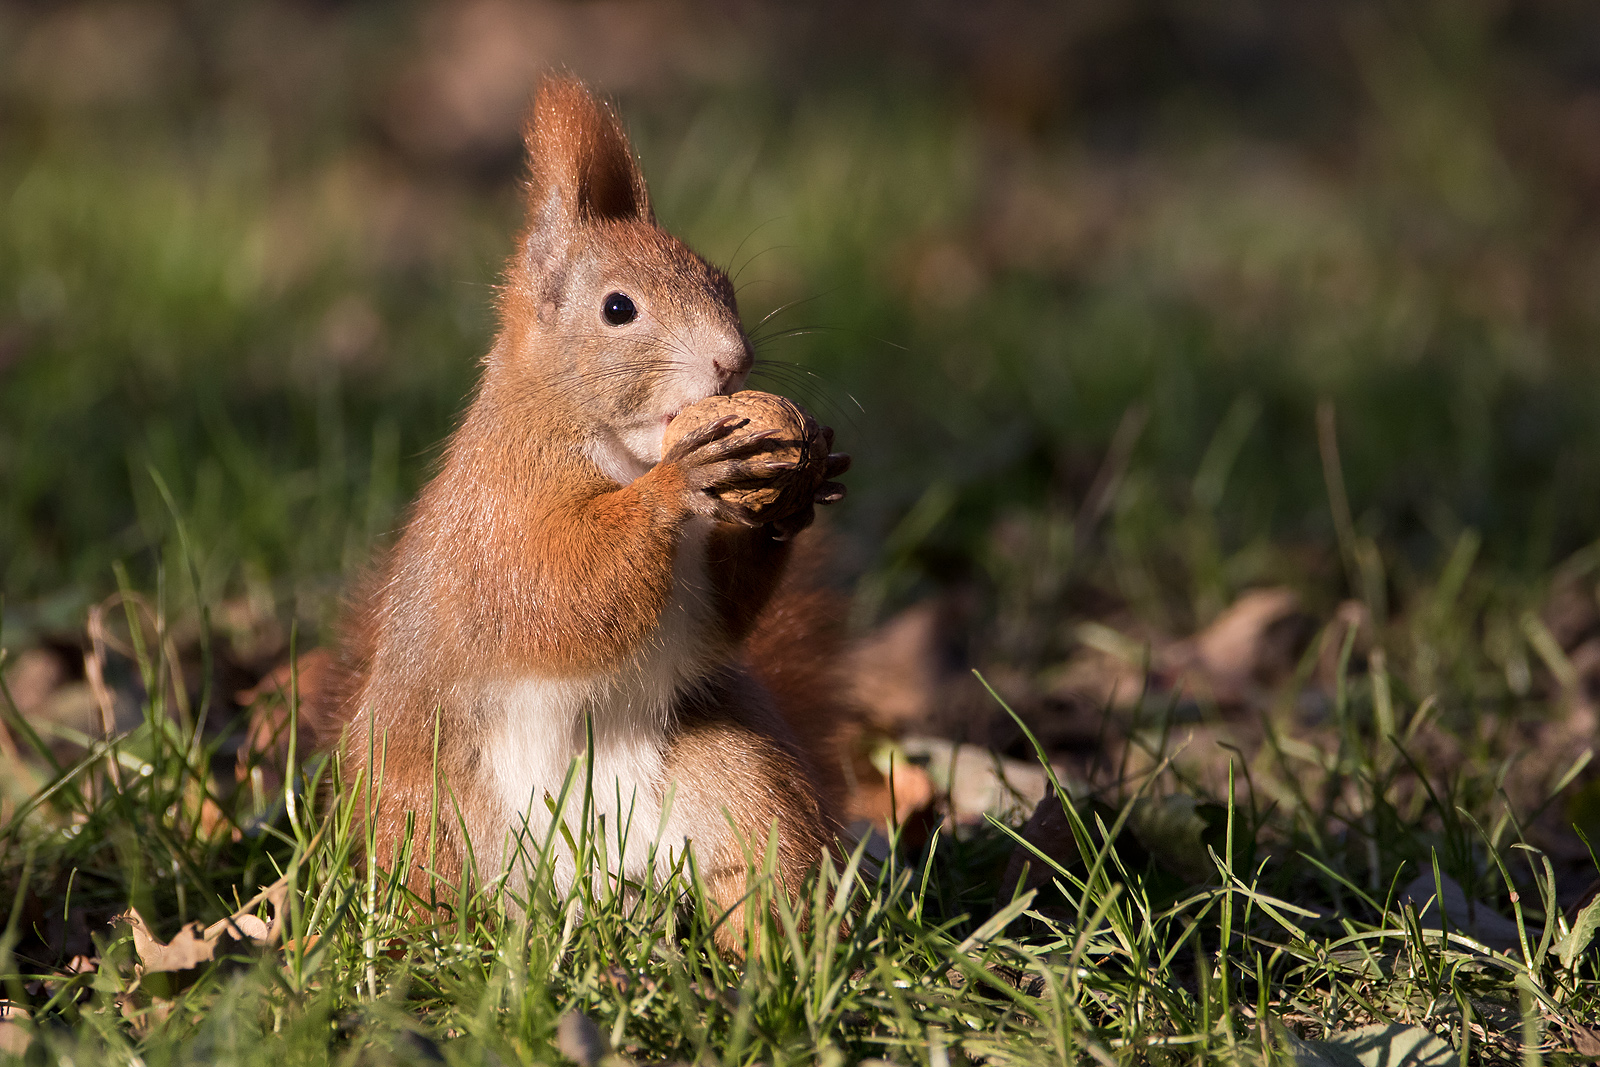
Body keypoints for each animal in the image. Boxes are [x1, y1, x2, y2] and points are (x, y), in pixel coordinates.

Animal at [316, 79, 857, 953]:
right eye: (617, 309)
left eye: (721, 280)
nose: (733, 361)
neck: (618, 445)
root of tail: (579, 890)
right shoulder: (499, 511)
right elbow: (555, 589)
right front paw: (679, 480)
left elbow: (718, 619)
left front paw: (797, 485)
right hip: (424, 809)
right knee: (430, 887)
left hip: (738, 780)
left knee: (757, 861)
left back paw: (773, 949)